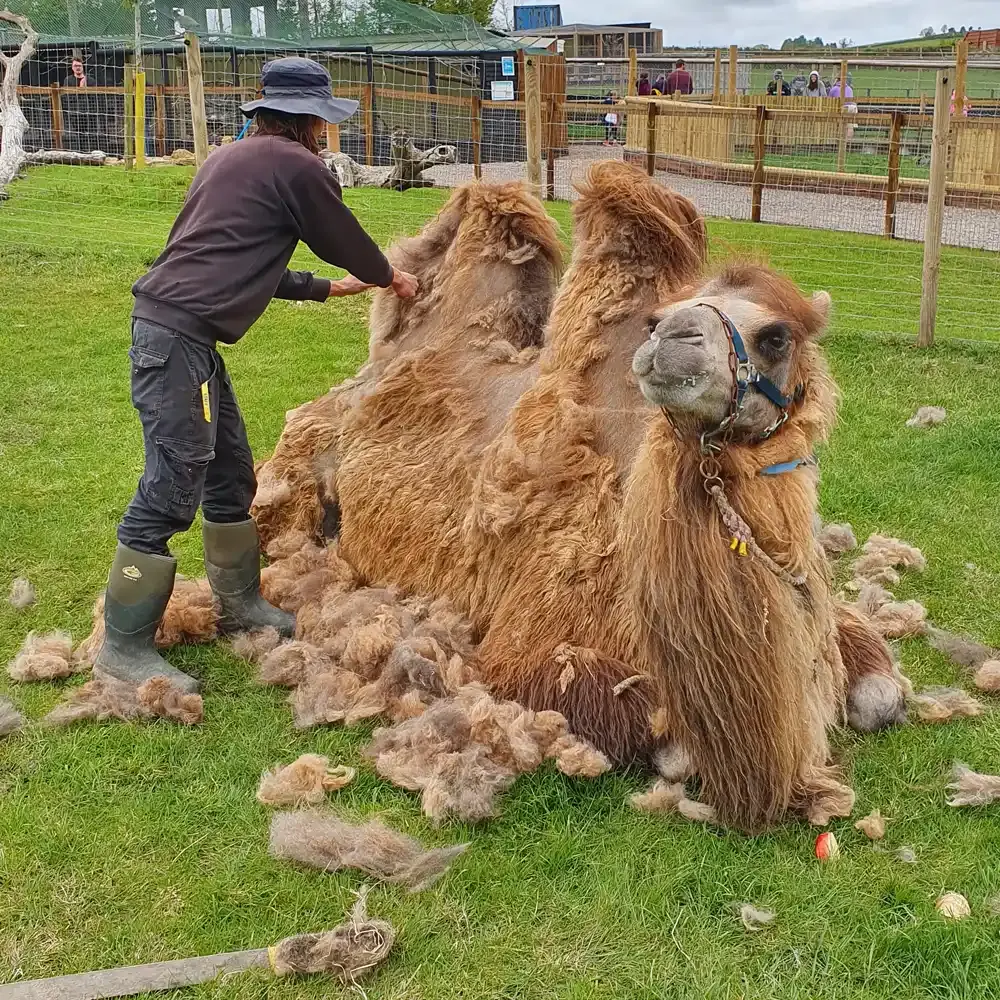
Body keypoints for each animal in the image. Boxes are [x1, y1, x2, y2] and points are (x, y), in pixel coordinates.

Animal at [254, 162, 906, 832]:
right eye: (656, 318)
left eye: (777, 336)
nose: (672, 341)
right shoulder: (528, 642)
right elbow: (644, 727)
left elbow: (877, 686)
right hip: (297, 466)